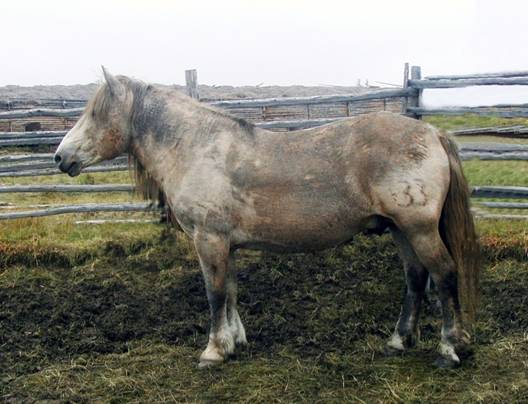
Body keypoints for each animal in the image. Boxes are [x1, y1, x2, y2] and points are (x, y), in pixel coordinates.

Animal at [53, 68, 478, 368]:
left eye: (95, 114)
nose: (60, 157)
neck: (196, 147)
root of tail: (433, 133)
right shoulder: (226, 243)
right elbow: (231, 291)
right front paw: (235, 342)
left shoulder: (208, 240)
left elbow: (214, 293)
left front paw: (213, 351)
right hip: (401, 231)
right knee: (415, 279)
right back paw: (399, 341)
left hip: (419, 230)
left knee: (444, 274)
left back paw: (450, 349)